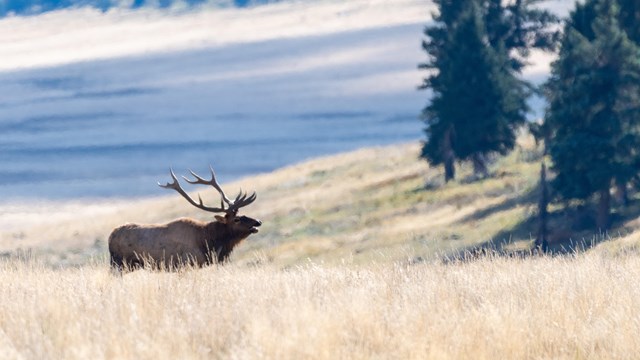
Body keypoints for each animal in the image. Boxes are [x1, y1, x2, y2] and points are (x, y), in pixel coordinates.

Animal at [109, 166, 262, 270]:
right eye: (236, 219)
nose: (258, 222)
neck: (208, 241)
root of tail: (110, 237)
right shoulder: (186, 263)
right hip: (119, 264)